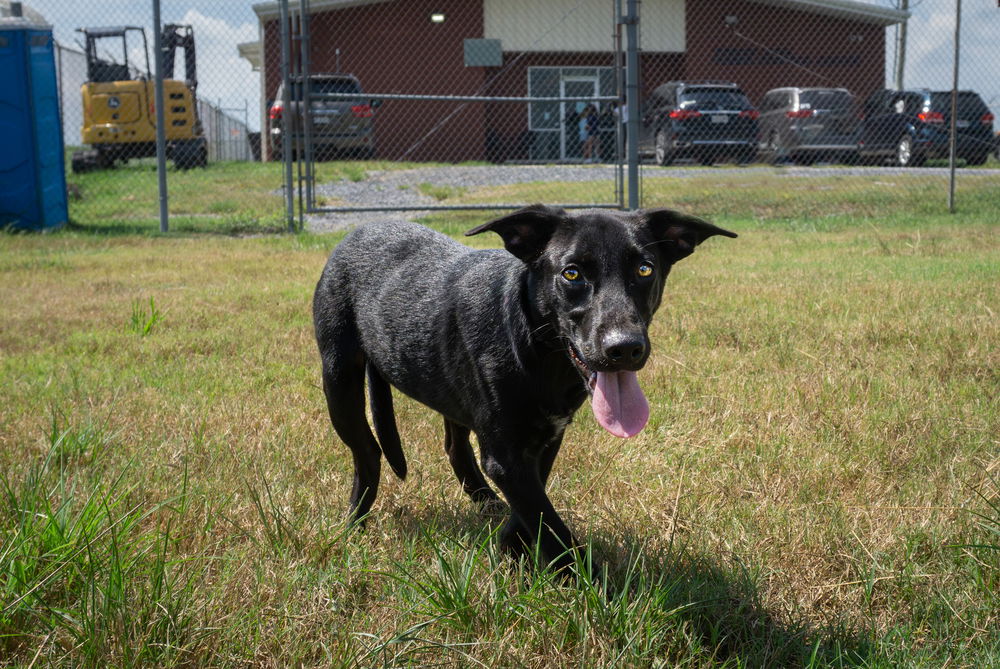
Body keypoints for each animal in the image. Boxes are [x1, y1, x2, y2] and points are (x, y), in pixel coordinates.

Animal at [312, 205, 736, 568]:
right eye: (571, 273)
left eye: (645, 269)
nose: (624, 348)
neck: (540, 353)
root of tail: (361, 230)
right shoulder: (505, 451)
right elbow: (549, 523)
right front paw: (595, 584)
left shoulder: (545, 438)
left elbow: (533, 503)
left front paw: (509, 546)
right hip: (339, 379)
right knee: (368, 452)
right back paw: (354, 524)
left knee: (454, 446)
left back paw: (485, 503)